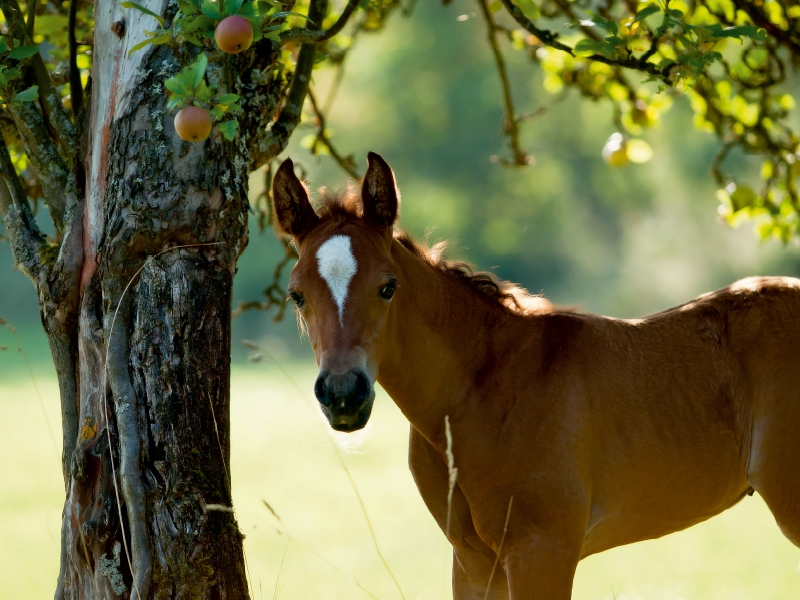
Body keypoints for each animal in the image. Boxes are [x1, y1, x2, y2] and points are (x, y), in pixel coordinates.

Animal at [270, 152, 800, 596]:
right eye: (297, 295)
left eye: (388, 287)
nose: (343, 394)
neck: (482, 390)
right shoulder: (473, 561)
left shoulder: (543, 552)